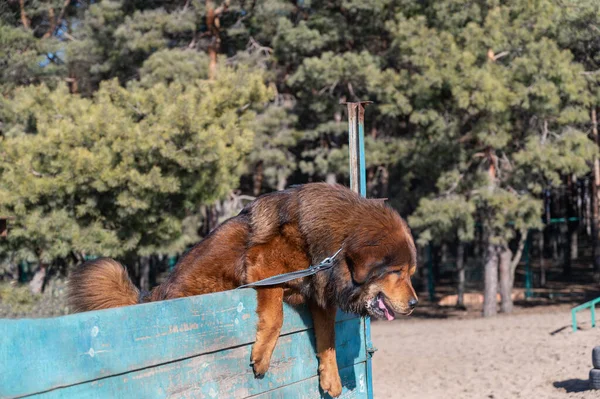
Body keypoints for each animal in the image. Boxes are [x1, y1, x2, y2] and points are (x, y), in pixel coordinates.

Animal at [69, 183, 418, 398]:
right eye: (397, 272)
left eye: (411, 273)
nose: (415, 304)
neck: (331, 249)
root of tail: (154, 294)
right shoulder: (266, 268)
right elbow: (275, 316)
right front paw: (262, 355)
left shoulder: (320, 290)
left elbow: (328, 339)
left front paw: (330, 376)